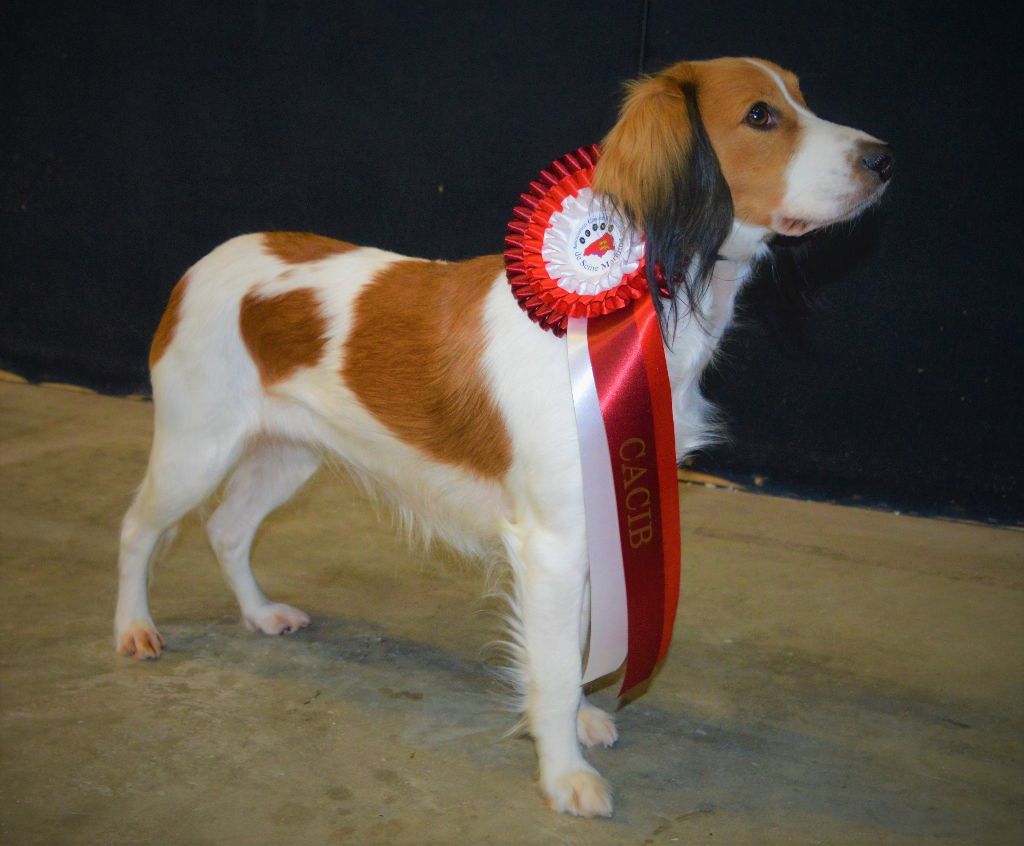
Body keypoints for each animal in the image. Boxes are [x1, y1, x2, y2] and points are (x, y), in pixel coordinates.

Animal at [114, 57, 893, 817]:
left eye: (801, 97)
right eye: (760, 115)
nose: (884, 158)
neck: (623, 307)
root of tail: (201, 266)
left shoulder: (595, 520)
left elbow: (575, 645)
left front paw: (579, 724)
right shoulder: (551, 542)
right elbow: (554, 668)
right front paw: (564, 773)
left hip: (289, 456)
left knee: (228, 529)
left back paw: (258, 614)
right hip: (194, 449)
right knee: (137, 530)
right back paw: (132, 628)